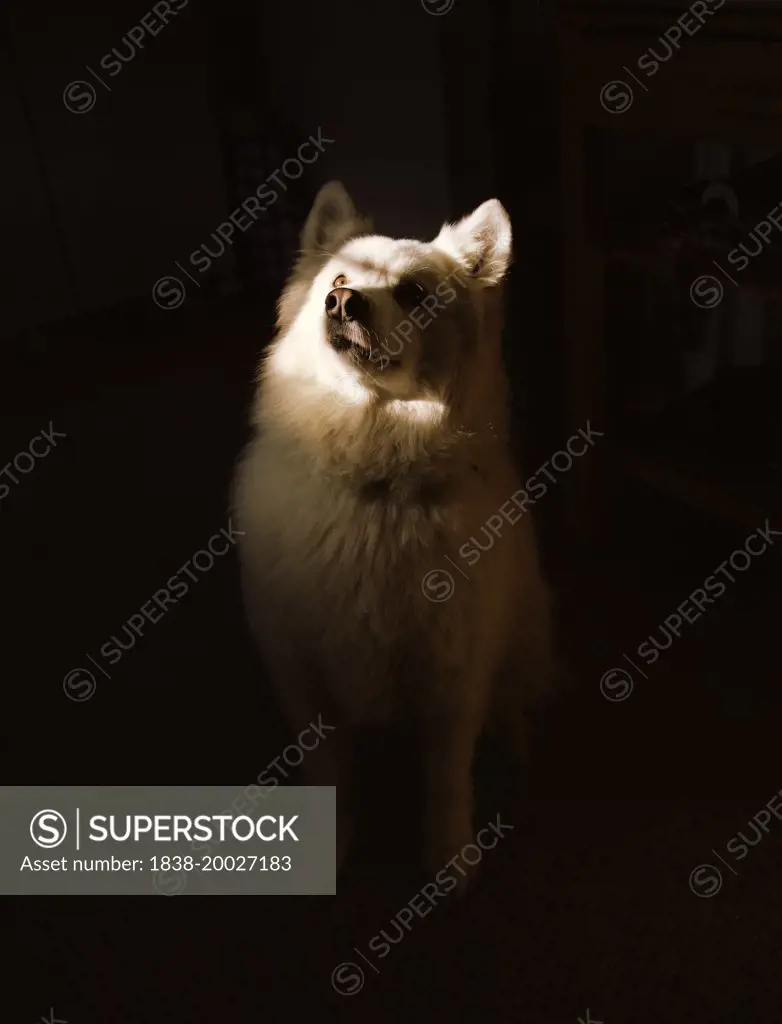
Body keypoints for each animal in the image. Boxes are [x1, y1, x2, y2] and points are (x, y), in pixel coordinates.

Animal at [230, 180, 556, 884]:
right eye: (338, 279)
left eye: (414, 294)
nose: (341, 302)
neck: (376, 479)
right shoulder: (303, 675)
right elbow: (331, 775)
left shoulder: (453, 676)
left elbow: (447, 780)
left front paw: (449, 856)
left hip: (521, 624)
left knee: (515, 687)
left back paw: (514, 736)